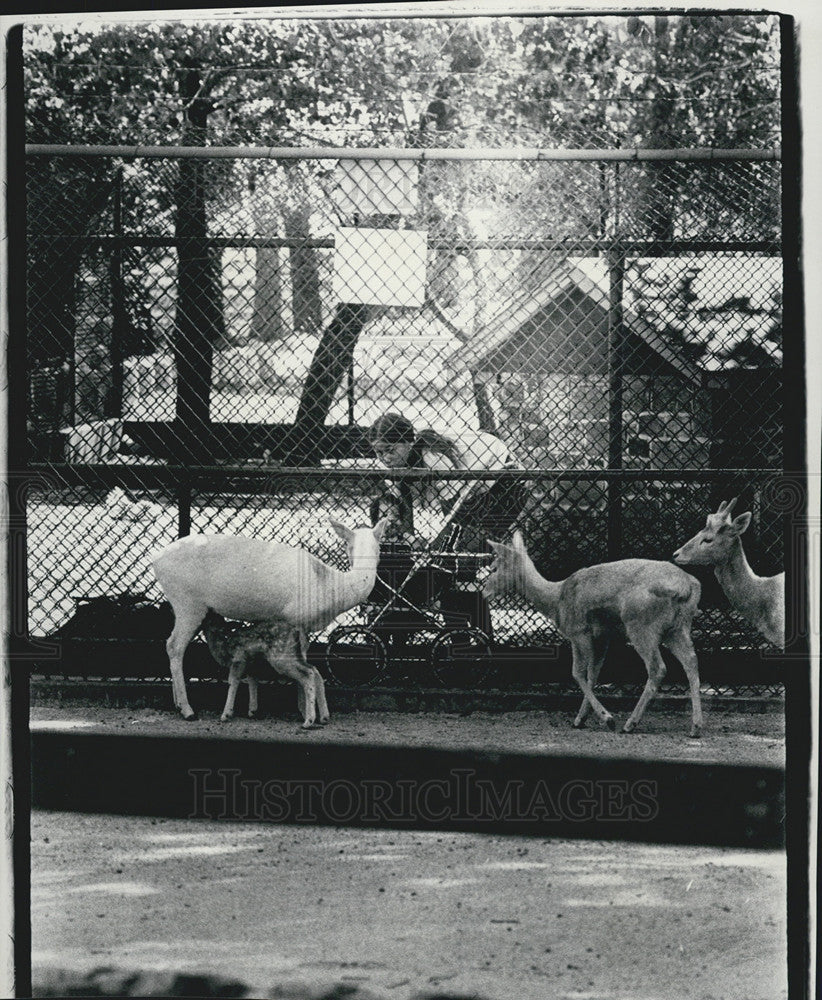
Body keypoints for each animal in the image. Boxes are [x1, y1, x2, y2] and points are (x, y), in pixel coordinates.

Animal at [154, 520, 390, 724]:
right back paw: (188, 710)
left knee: (175, 645)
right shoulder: (295, 618)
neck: (331, 585)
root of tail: (156, 560)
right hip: (187, 602)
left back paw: (177, 704)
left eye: (378, 545)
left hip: (188, 607)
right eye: (349, 544)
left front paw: (313, 713)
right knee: (174, 645)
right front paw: (306, 712)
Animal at [486, 532, 704, 736]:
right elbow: (593, 674)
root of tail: (687, 588)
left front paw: (607, 719)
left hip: (640, 623)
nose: (484, 591)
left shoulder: (579, 631)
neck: (556, 600)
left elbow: (577, 673)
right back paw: (695, 727)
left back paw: (630, 724)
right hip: (678, 627)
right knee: (691, 661)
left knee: (658, 668)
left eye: (494, 568)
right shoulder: (602, 637)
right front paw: (580, 719)